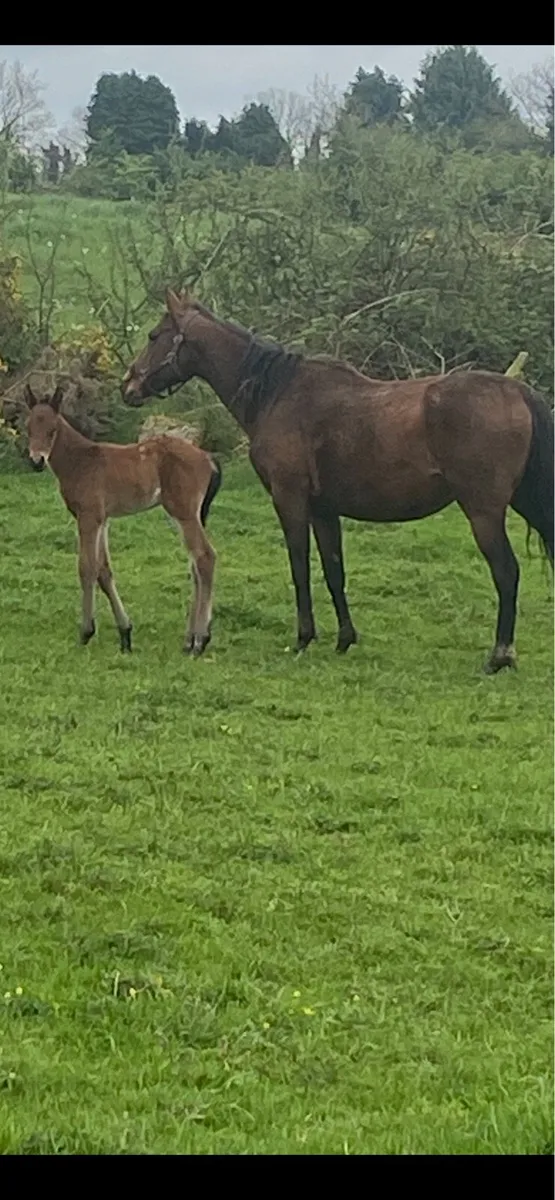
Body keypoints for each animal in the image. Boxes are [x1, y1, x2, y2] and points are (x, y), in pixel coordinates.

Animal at [24, 383, 221, 656]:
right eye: (28, 428)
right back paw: (190, 639)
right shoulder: (103, 519)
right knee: (195, 563)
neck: (81, 460)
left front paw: (86, 632)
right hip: (190, 515)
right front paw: (125, 634)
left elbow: (87, 567)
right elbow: (104, 571)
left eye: (52, 430)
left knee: (205, 557)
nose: (36, 461)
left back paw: (201, 640)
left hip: (183, 512)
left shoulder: (88, 516)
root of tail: (208, 458)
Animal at [121, 289, 553, 673]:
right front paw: (345, 639)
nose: (128, 386)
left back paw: (499, 656)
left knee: (506, 572)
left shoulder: (290, 501)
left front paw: (303, 638)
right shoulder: (324, 511)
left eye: (154, 336)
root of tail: (516, 390)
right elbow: (333, 571)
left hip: (484, 512)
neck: (277, 393)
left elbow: (299, 567)